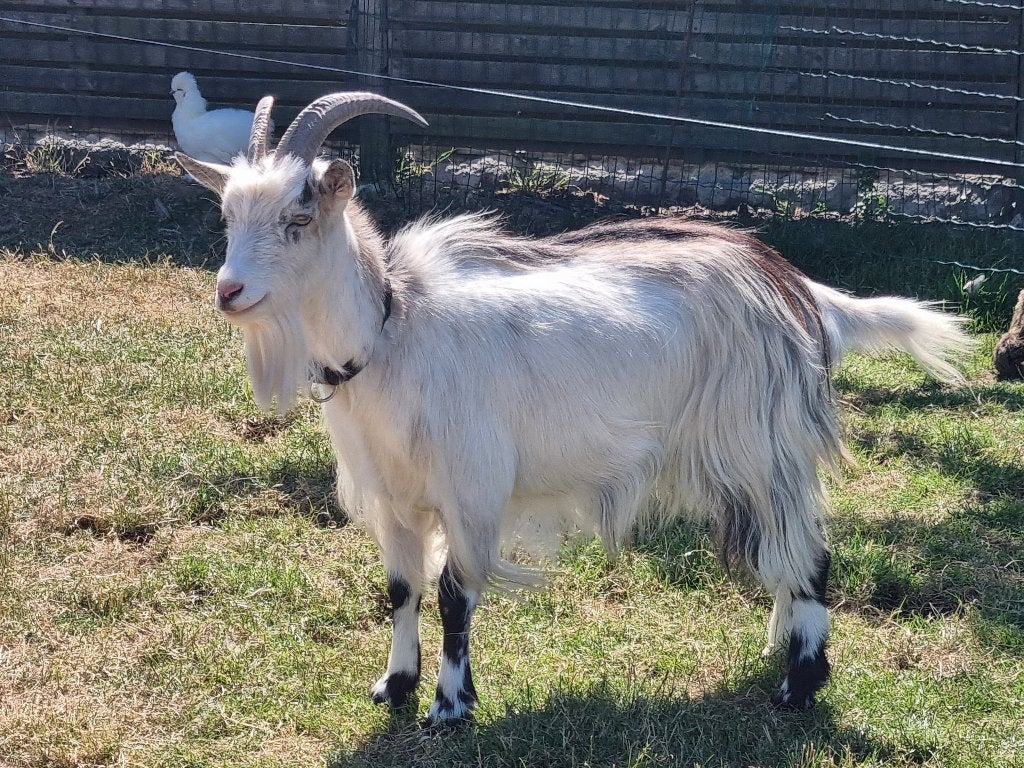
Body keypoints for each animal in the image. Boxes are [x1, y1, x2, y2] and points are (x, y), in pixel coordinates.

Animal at [176, 92, 973, 725]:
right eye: (226, 213)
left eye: (300, 214)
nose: (228, 291)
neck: (393, 331)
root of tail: (797, 290)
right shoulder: (394, 497)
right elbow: (402, 589)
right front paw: (394, 686)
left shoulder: (473, 491)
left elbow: (454, 596)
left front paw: (449, 706)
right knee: (782, 552)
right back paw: (782, 653)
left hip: (762, 443)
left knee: (810, 553)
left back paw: (799, 688)